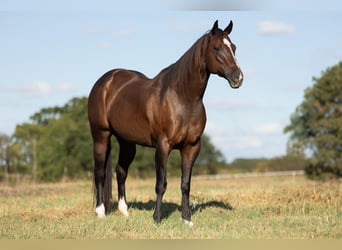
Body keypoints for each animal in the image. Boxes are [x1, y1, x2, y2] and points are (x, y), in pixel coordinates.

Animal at [88, 20, 243, 226]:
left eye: (233, 47)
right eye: (217, 48)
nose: (238, 77)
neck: (183, 98)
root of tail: (105, 81)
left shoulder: (192, 147)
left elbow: (185, 184)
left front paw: (187, 219)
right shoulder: (163, 146)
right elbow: (161, 184)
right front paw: (157, 218)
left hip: (127, 142)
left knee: (121, 171)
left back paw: (124, 211)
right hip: (101, 135)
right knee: (99, 172)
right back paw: (100, 211)